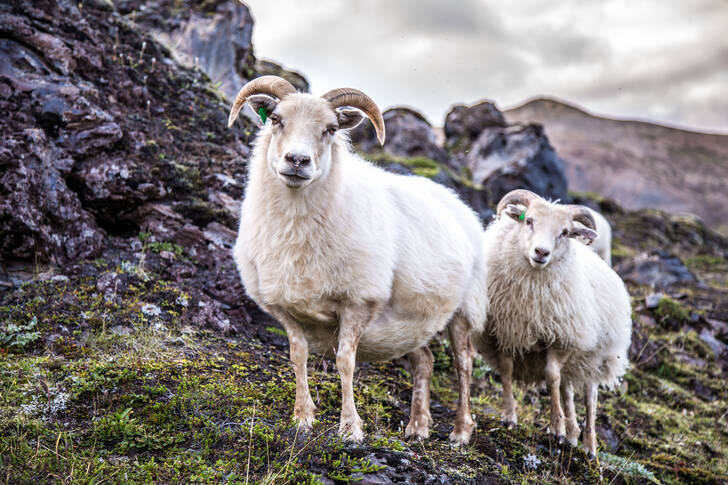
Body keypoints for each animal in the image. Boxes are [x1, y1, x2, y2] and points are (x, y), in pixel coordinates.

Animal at [227, 76, 487, 444]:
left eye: (330, 129)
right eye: (276, 119)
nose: (297, 160)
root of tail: (455, 201)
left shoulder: (357, 302)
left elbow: (345, 362)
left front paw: (350, 428)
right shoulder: (284, 307)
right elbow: (297, 356)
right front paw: (302, 418)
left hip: (465, 310)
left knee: (463, 364)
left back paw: (461, 431)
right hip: (410, 320)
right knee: (424, 361)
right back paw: (417, 427)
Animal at [472, 189, 631, 457]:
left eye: (565, 232)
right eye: (528, 220)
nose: (541, 252)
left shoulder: (561, 338)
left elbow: (551, 377)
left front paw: (556, 428)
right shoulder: (504, 331)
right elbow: (506, 369)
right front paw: (509, 417)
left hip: (596, 358)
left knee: (590, 397)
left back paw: (589, 445)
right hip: (575, 362)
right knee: (567, 391)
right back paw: (573, 434)